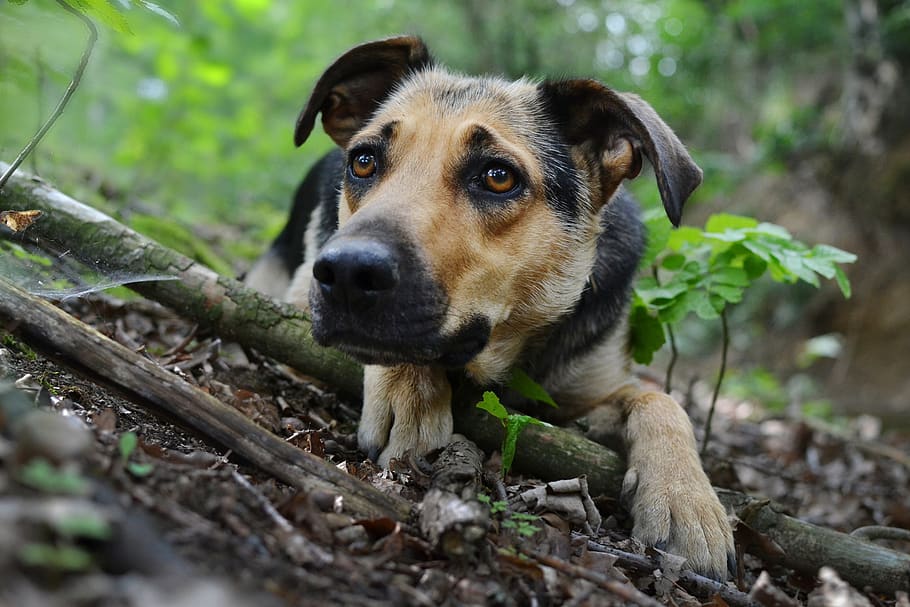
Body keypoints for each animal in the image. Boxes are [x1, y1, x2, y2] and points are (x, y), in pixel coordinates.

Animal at [246, 34, 736, 580]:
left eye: (498, 176)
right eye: (364, 161)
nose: (349, 273)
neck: (508, 344)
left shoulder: (587, 390)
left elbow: (660, 400)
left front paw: (688, 500)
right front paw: (408, 391)